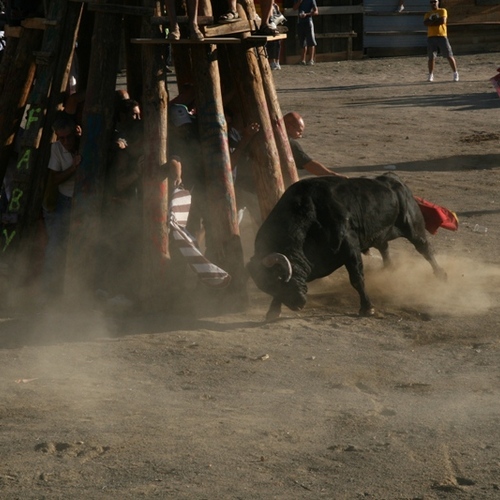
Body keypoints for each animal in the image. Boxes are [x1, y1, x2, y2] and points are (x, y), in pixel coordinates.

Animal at [248, 173, 448, 320]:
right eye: (268, 286)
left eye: (278, 277)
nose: (298, 305)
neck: (308, 216)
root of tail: (394, 179)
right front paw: (273, 311)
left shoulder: (349, 248)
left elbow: (357, 279)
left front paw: (367, 308)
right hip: (379, 234)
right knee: (384, 247)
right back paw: (388, 269)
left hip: (413, 226)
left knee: (425, 249)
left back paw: (441, 275)